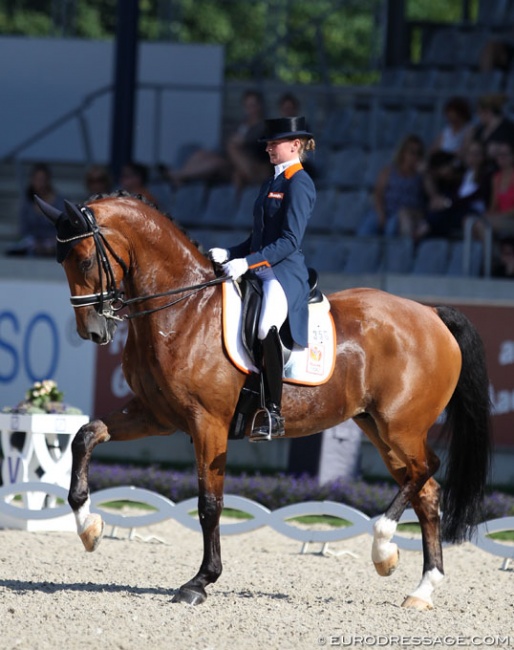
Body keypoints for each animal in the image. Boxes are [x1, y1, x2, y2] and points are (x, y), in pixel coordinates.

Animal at [34, 191, 490, 608]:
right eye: (60, 262)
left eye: (86, 261)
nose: (93, 331)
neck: (183, 308)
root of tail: (431, 314)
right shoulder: (156, 415)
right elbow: (85, 436)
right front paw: (88, 528)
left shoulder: (208, 422)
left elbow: (209, 504)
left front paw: (200, 582)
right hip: (377, 427)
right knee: (426, 492)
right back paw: (421, 588)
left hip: (401, 425)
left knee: (426, 470)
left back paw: (383, 547)